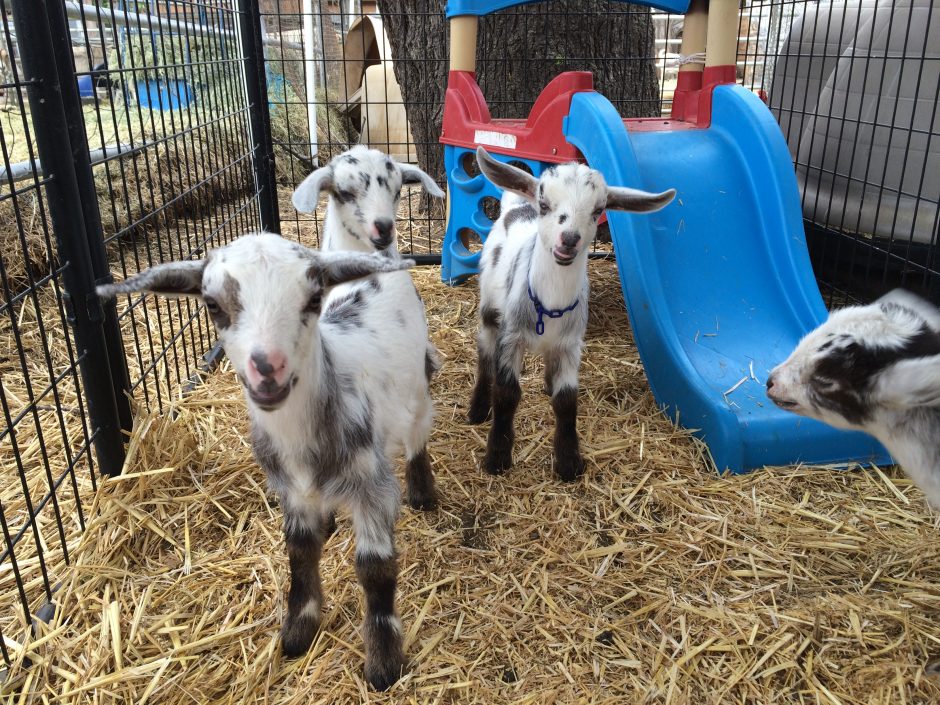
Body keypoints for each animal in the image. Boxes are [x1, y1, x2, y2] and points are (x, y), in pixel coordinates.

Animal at [97, 233, 433, 690]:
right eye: (212, 304)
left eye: (313, 298)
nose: (267, 368)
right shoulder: (291, 490)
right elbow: (299, 552)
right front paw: (298, 630)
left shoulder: (371, 486)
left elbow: (375, 568)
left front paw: (383, 662)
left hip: (416, 384)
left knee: (418, 432)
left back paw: (422, 489)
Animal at [467, 147, 675, 481]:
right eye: (544, 203)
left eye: (598, 209)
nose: (569, 239)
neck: (550, 303)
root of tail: (516, 207)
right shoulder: (512, 336)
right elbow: (507, 392)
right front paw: (497, 458)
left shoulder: (570, 344)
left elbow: (566, 401)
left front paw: (568, 463)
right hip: (490, 307)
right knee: (485, 354)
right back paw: (477, 410)